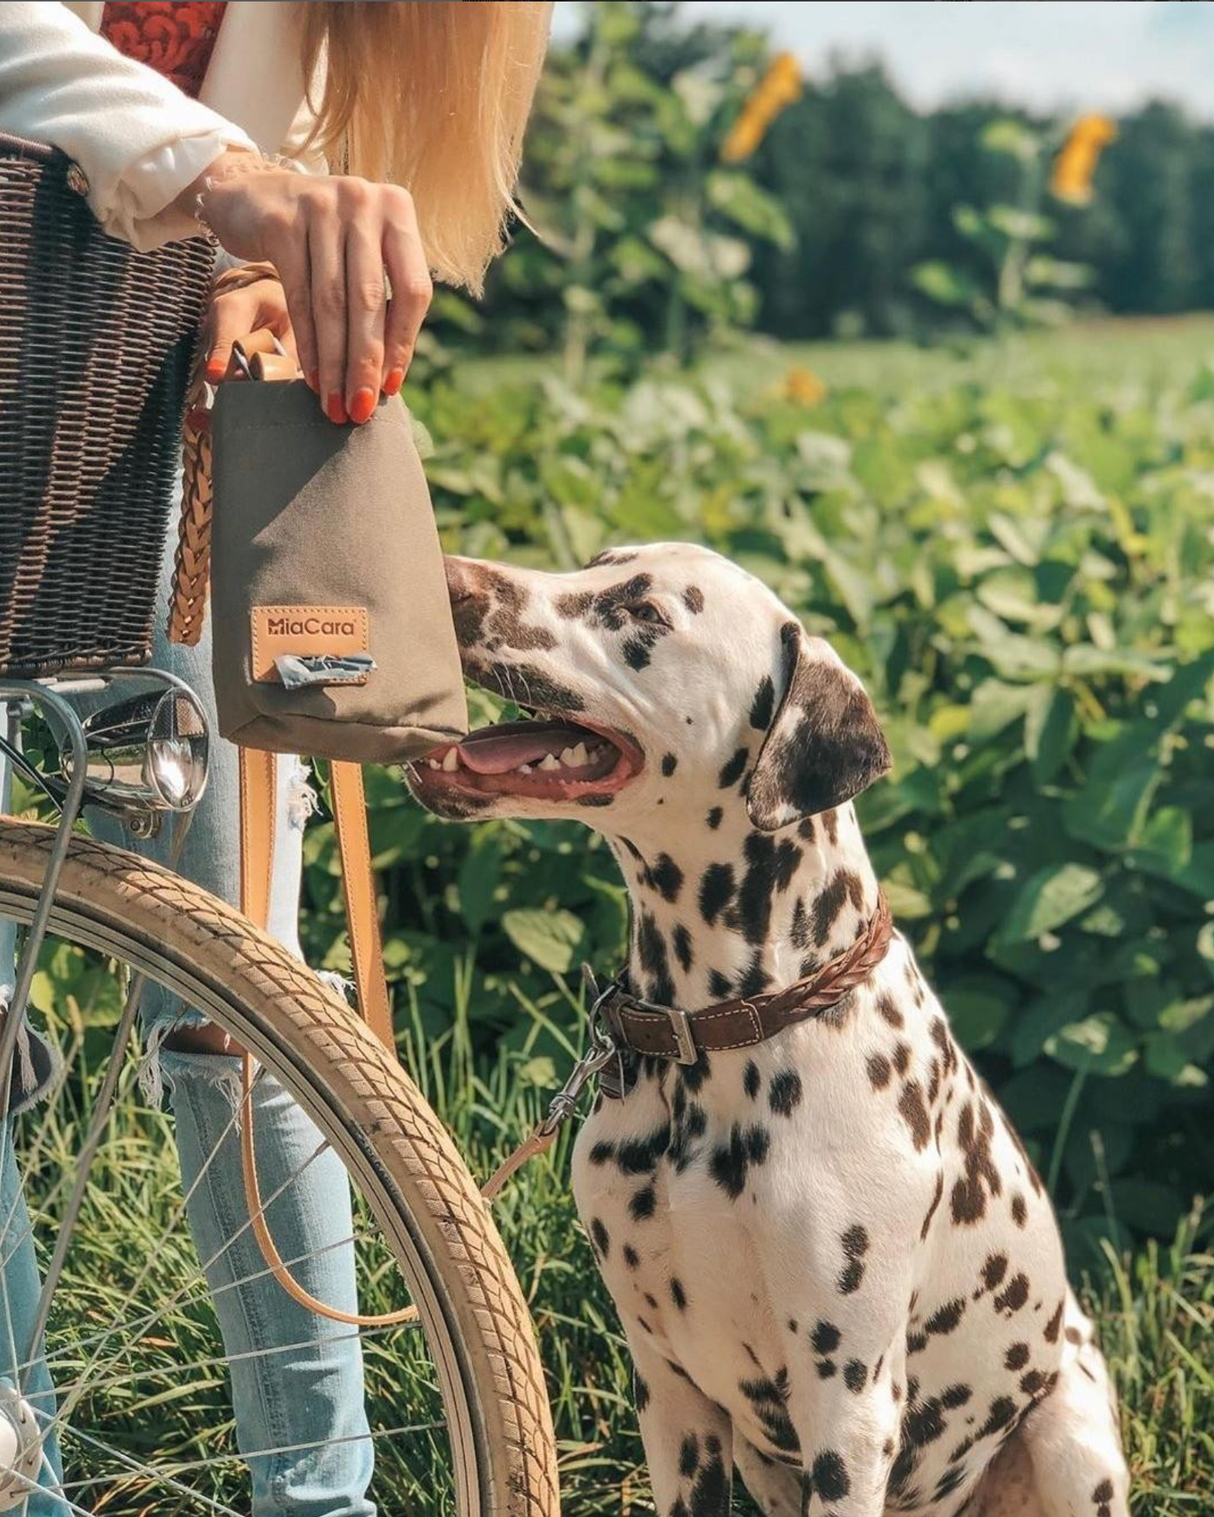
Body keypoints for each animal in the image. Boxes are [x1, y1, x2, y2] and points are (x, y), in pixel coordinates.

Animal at [406, 546, 1129, 1517]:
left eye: (645, 612)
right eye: (592, 563)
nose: (446, 572)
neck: (717, 1036)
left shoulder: (849, 1411)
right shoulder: (673, 1399)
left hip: (1072, 1437)